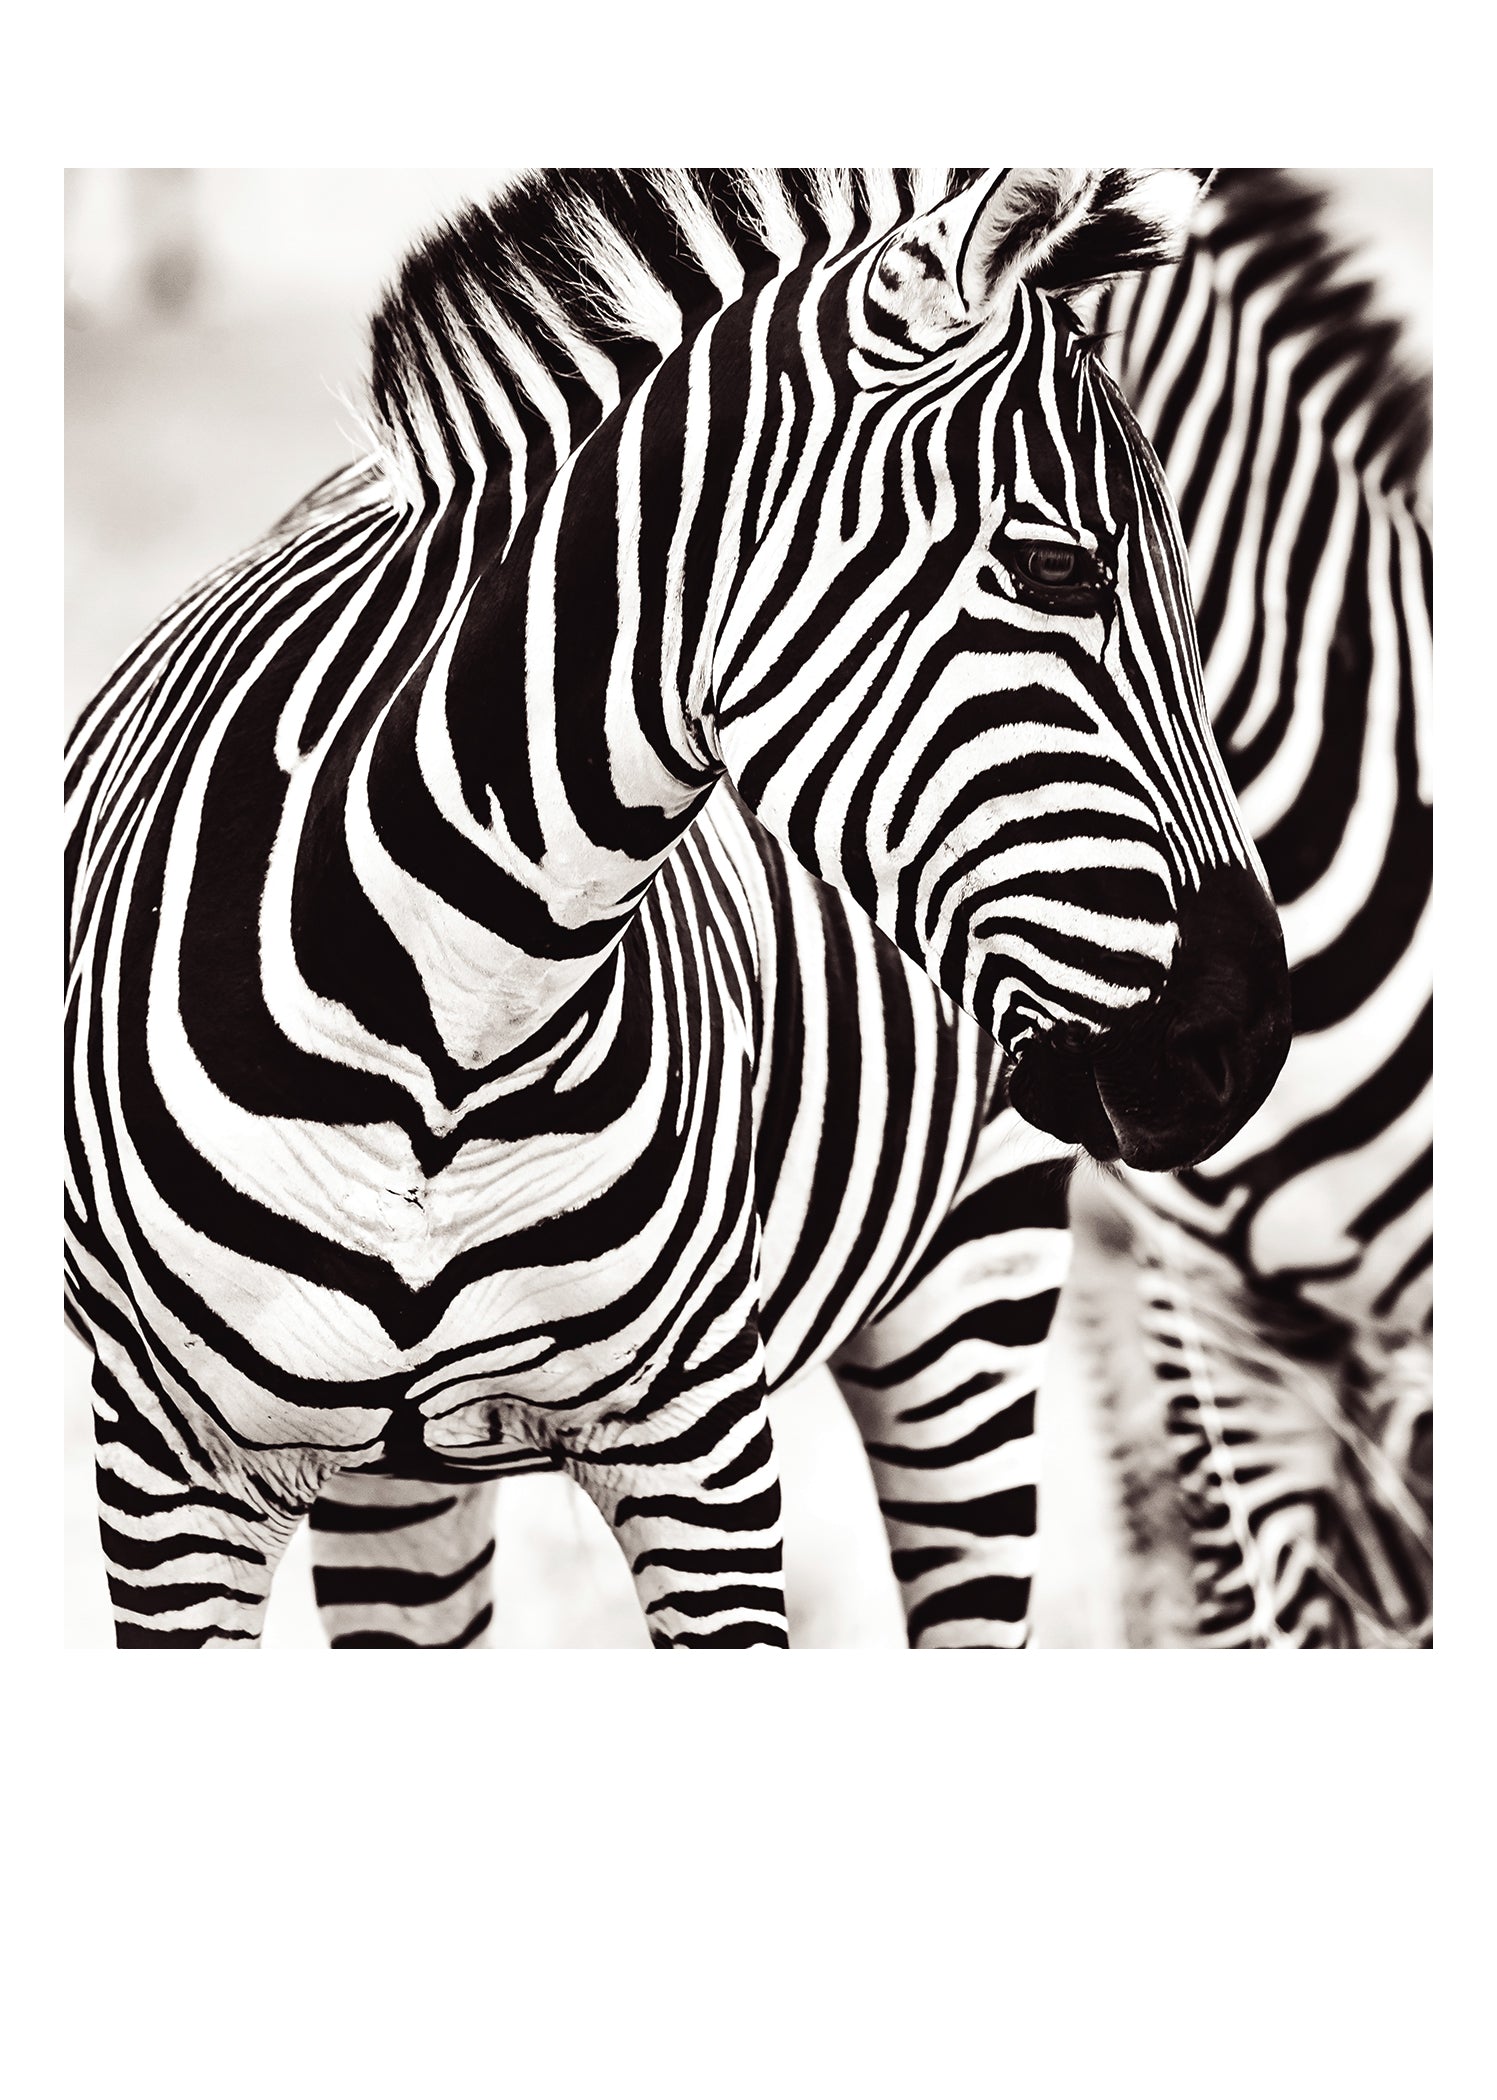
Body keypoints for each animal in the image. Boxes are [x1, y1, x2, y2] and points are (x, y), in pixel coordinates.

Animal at [65, 166, 1291, 1650]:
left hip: (974, 1285)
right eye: (1062, 572)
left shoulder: (698, 1443)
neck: (446, 1036)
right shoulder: (167, 1465)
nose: (1251, 1040)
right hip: (398, 1484)